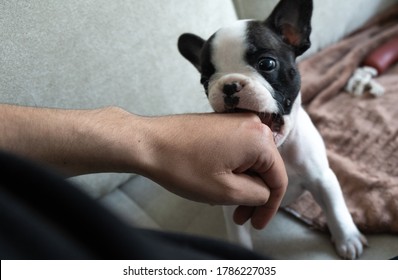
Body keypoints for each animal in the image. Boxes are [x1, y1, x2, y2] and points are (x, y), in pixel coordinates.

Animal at [177, 0, 366, 260]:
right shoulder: (235, 200)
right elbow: (239, 234)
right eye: (205, 80)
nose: (229, 85)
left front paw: (348, 238)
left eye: (267, 63)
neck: (277, 149)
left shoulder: (322, 178)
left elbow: (336, 208)